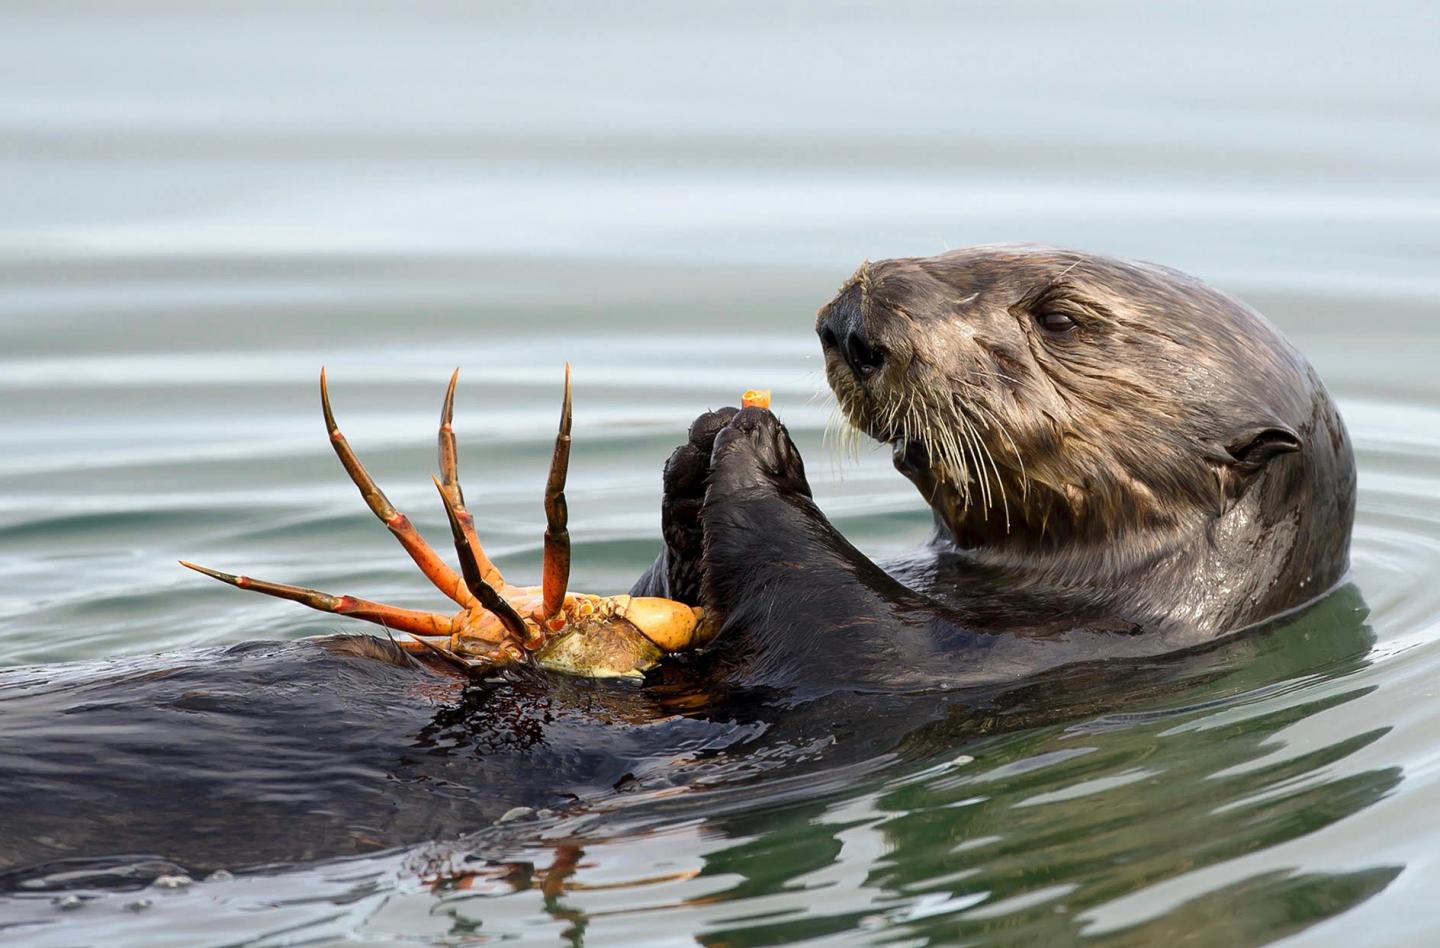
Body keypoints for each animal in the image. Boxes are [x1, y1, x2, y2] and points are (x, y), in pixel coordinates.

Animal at [0, 245, 1354, 887]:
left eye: (1063, 318)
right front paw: (699, 444)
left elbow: (834, 628)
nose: (850, 318)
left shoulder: (959, 671)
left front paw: (753, 454)